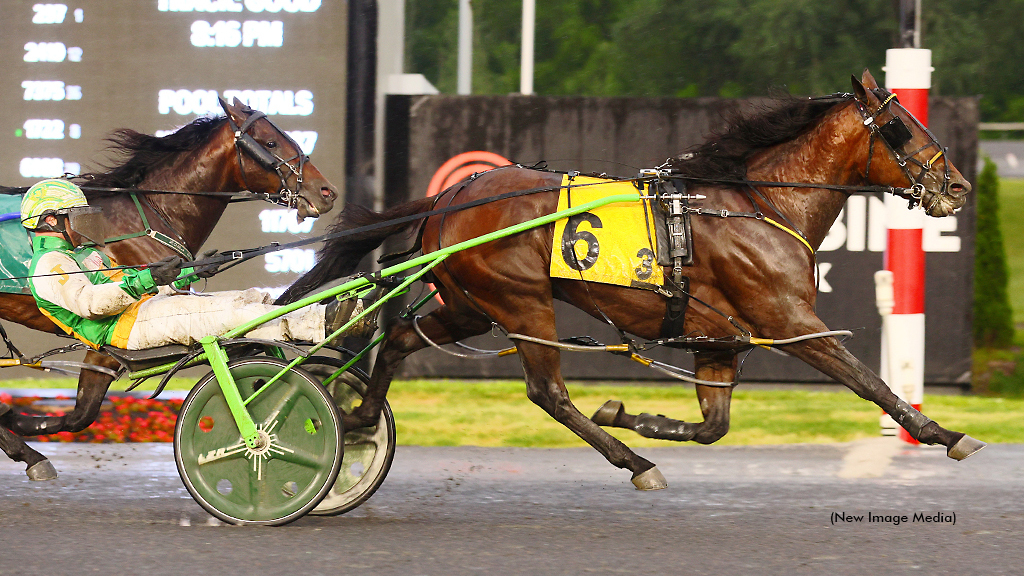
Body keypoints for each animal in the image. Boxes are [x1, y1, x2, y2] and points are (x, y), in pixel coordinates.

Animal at [282, 69, 983, 485]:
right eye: (899, 127)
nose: (957, 185)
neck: (759, 204)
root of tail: (448, 197)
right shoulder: (788, 321)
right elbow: (869, 380)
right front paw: (943, 433)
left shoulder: (717, 338)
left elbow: (714, 424)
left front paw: (638, 416)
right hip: (522, 301)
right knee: (547, 392)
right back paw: (635, 462)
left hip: (470, 303)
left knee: (401, 339)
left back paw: (360, 417)